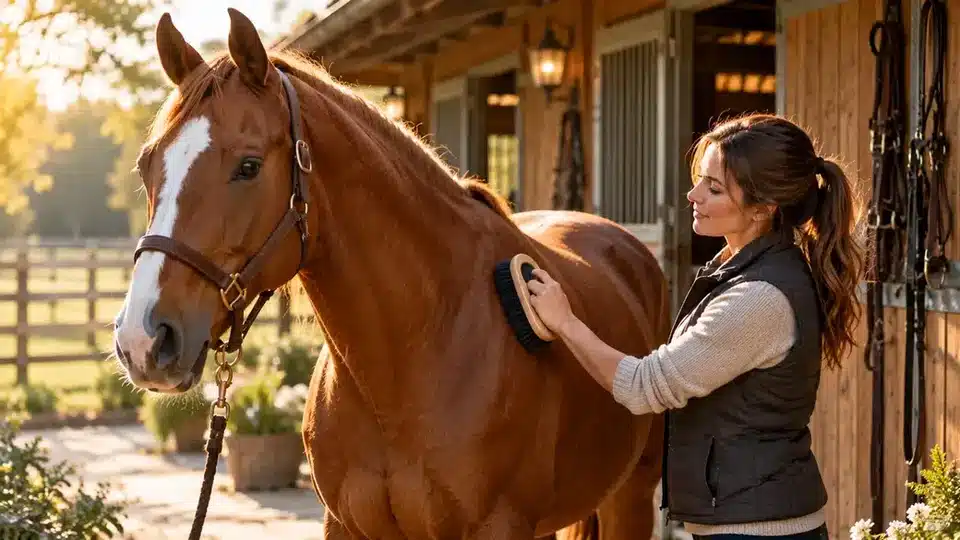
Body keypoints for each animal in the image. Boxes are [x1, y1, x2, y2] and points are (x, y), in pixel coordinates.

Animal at [112, 8, 670, 539]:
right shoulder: (343, 525)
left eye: (248, 166)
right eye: (147, 166)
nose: (143, 340)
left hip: (631, 496)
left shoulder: (500, 527)